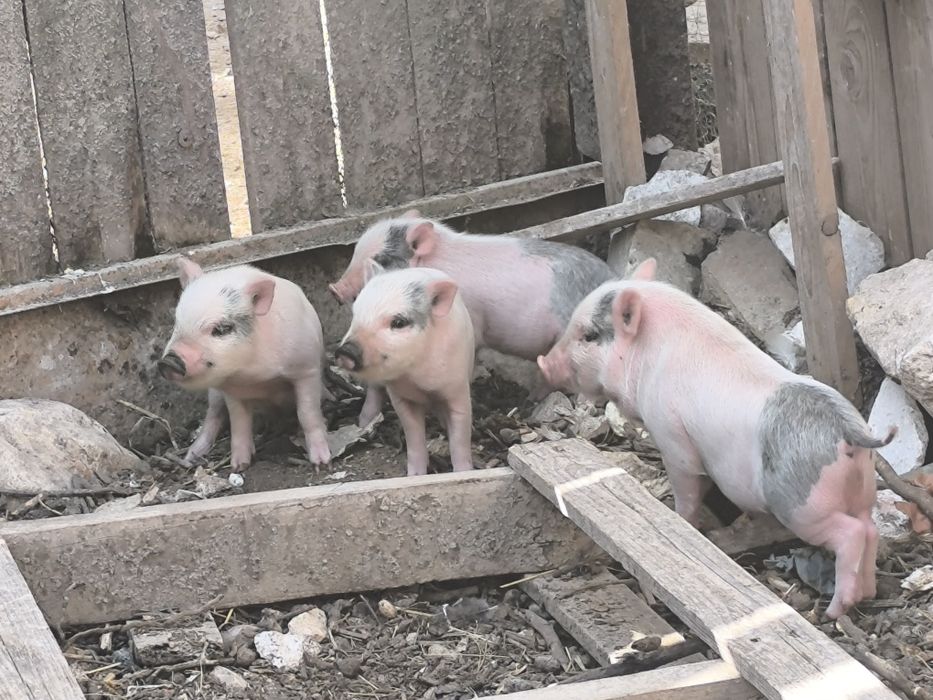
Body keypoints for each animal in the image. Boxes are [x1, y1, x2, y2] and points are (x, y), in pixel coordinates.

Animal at [158, 259, 331, 470]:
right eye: (177, 323)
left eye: (222, 329)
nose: (168, 361)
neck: (257, 378)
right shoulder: (230, 390)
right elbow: (239, 424)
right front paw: (239, 466)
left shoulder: (307, 369)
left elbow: (307, 413)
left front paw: (323, 463)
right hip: (214, 393)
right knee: (213, 416)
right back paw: (191, 456)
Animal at [335, 264, 475, 476]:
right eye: (355, 314)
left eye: (399, 323)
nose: (346, 351)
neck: (419, 379)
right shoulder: (400, 396)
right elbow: (414, 437)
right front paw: (415, 476)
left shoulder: (457, 388)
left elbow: (460, 437)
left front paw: (463, 473)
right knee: (374, 391)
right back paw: (364, 423)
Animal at [537, 258, 896, 619]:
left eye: (589, 335)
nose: (543, 362)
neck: (650, 353)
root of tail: (848, 432)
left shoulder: (670, 433)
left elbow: (686, 484)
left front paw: (682, 519)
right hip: (861, 492)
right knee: (870, 529)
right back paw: (866, 593)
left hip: (801, 504)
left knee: (852, 533)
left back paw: (835, 611)